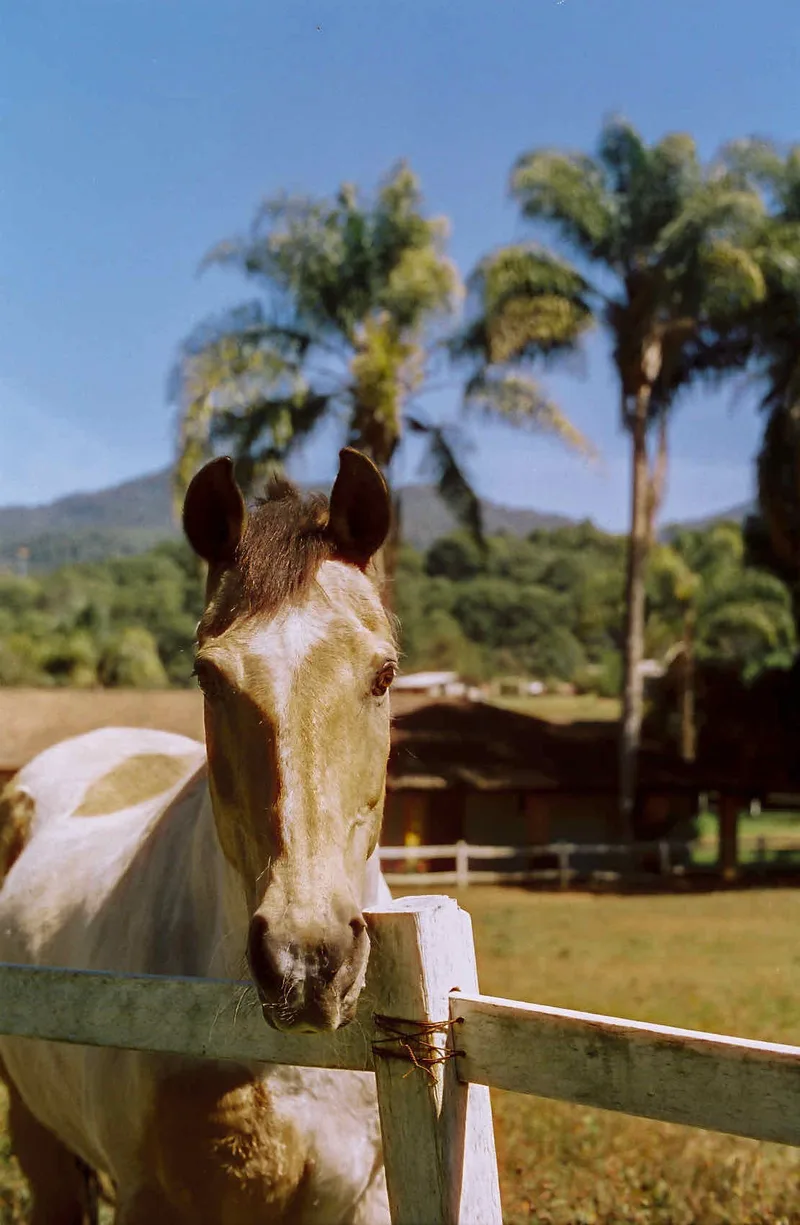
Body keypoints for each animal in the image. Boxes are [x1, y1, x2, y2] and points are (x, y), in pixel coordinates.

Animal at [0, 447, 397, 1225]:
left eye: (384, 673)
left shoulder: (365, 1201)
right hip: (35, 1135)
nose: (306, 961)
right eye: (208, 675)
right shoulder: (151, 1199)